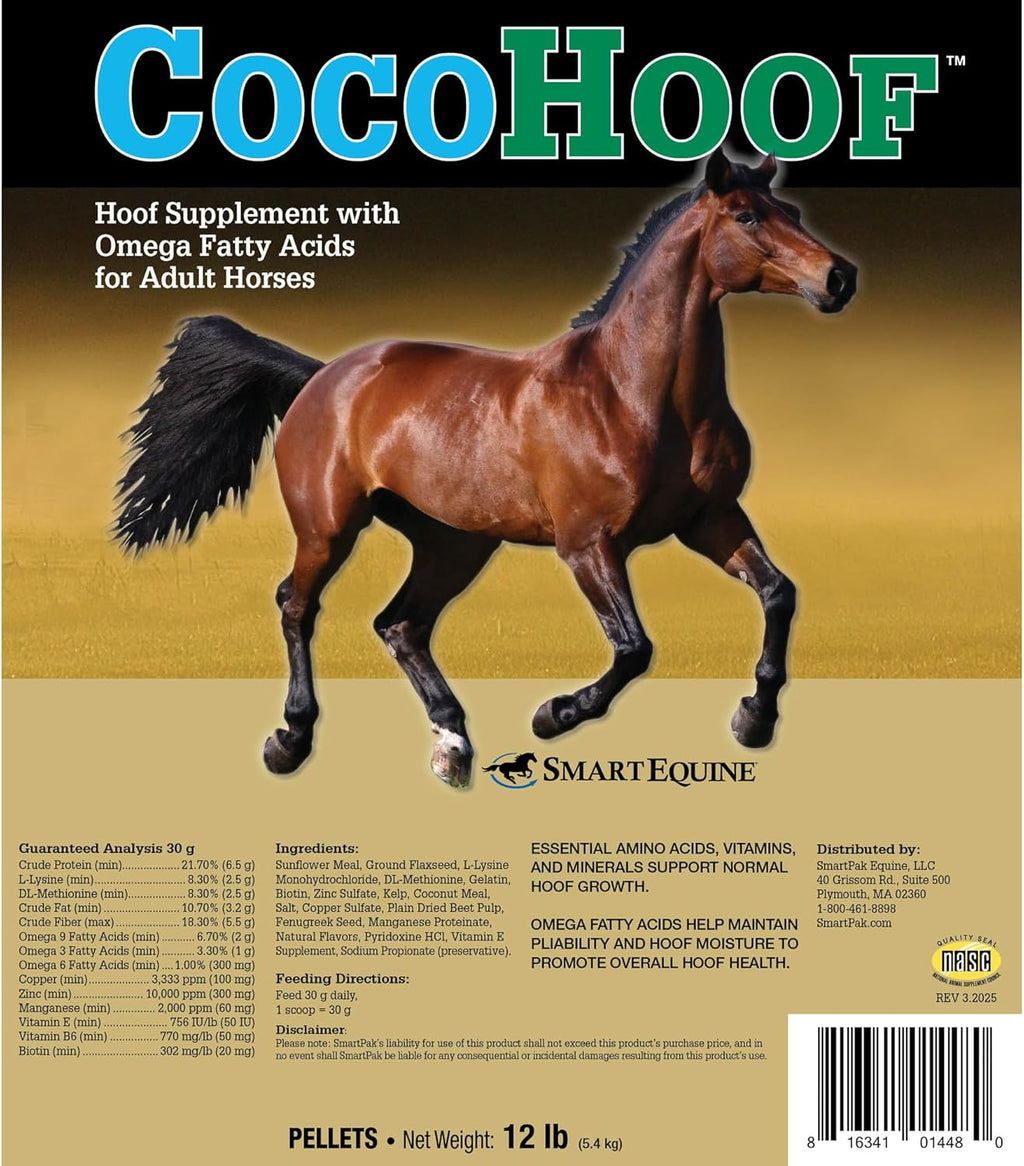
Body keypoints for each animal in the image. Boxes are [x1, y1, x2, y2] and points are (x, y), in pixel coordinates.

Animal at [114, 149, 856, 788]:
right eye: (748, 216)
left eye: (792, 211)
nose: (838, 278)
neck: (633, 395)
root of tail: (323, 376)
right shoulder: (588, 544)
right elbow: (633, 648)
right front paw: (553, 715)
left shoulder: (711, 520)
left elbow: (778, 593)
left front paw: (754, 719)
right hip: (328, 529)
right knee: (297, 605)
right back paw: (290, 742)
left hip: (455, 544)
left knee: (401, 625)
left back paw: (453, 744)